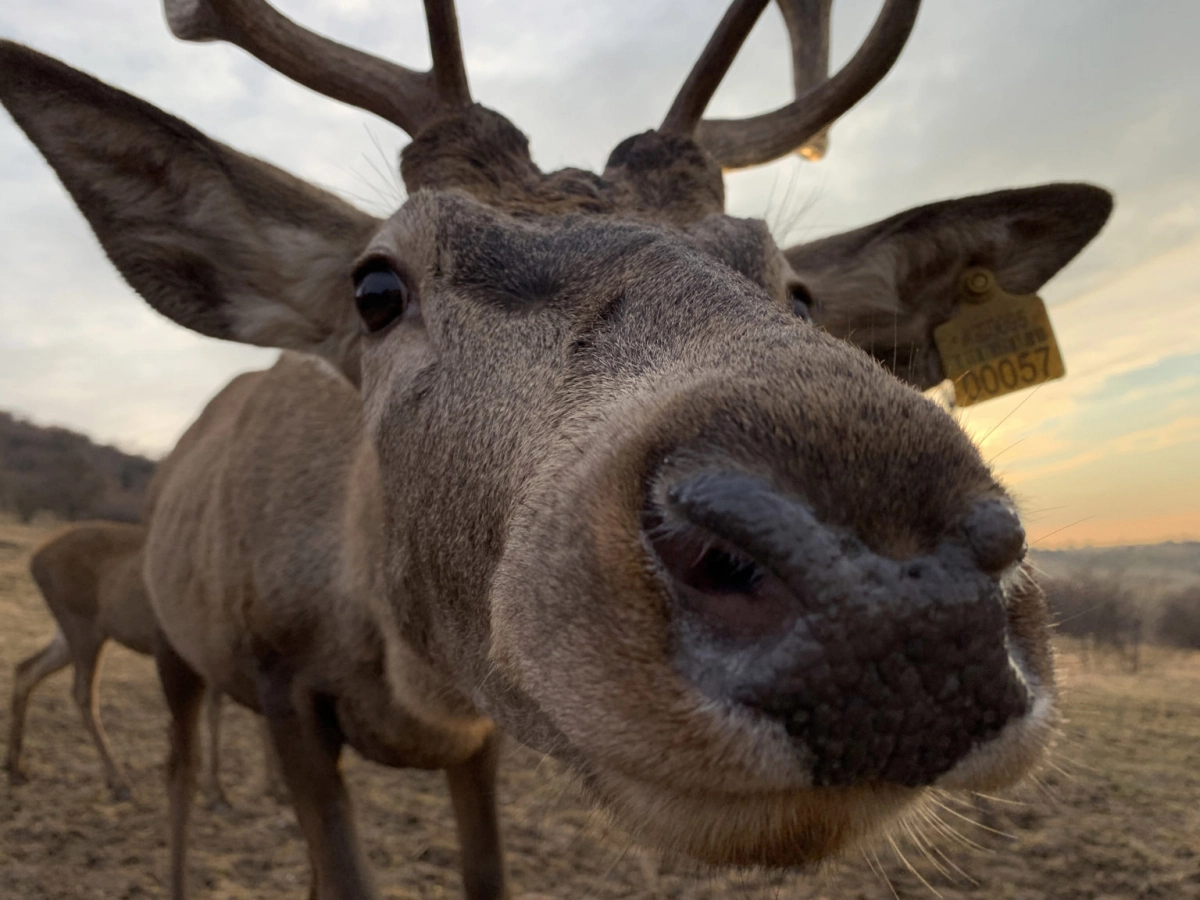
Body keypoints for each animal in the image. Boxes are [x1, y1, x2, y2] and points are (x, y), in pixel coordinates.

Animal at [5, 520, 280, 811]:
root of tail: (34, 559)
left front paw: (275, 787)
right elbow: (215, 712)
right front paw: (217, 793)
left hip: (70, 635)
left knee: (26, 669)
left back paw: (15, 767)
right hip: (83, 625)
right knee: (82, 693)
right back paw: (120, 782)